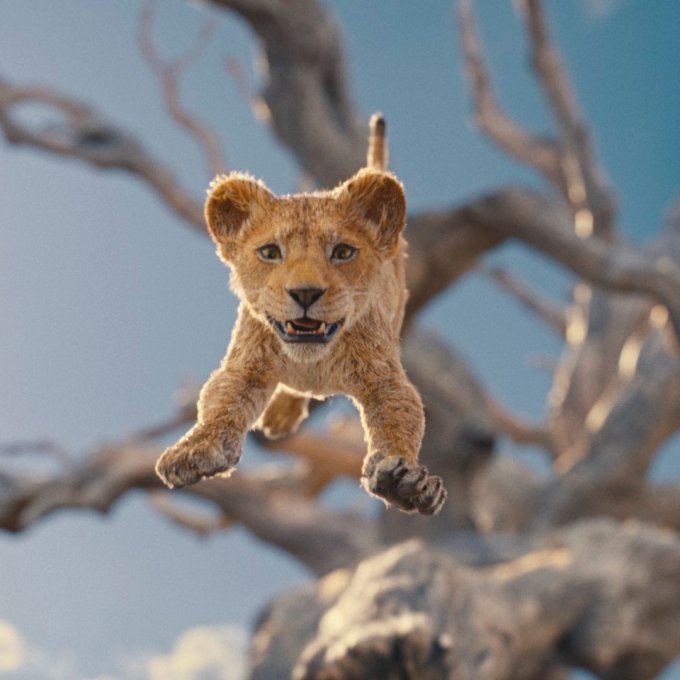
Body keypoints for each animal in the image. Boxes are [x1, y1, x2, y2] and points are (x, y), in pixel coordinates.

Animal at [155, 115, 446, 515]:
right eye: (269, 252)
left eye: (342, 252)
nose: (305, 293)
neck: (312, 361)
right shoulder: (244, 365)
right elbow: (219, 404)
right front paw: (193, 450)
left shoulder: (384, 378)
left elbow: (400, 418)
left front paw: (404, 481)